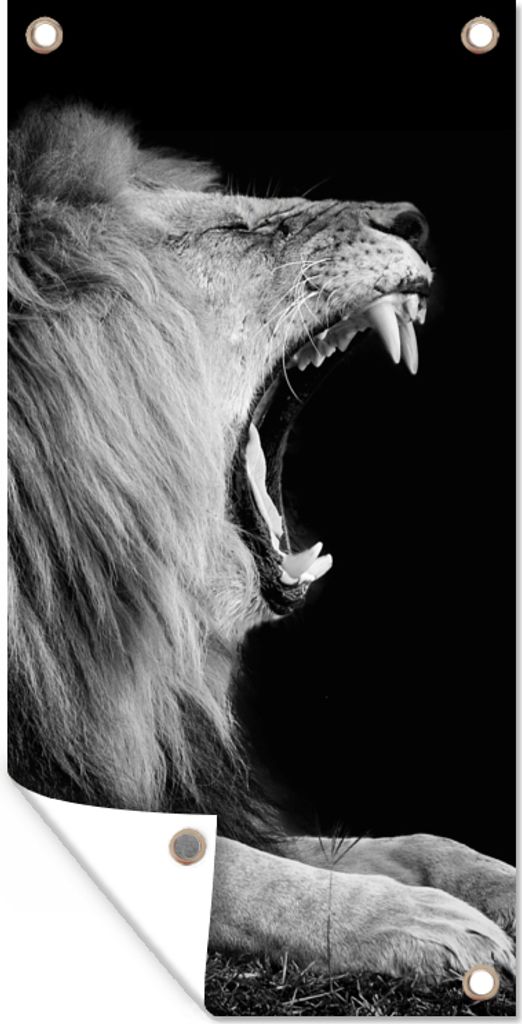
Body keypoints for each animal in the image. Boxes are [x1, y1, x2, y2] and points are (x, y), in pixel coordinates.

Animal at [8, 102, 515, 986]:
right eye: (232, 229)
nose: (412, 220)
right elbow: (232, 872)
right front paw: (409, 919)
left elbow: (379, 840)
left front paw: (488, 880)